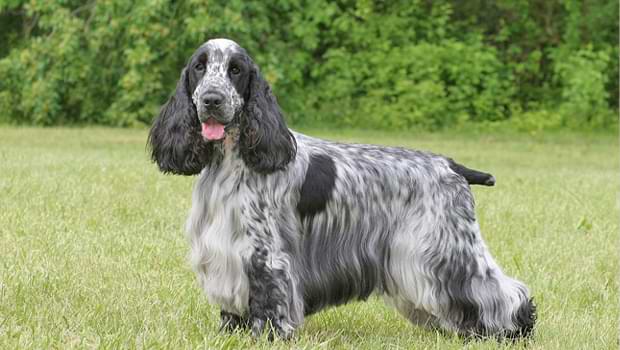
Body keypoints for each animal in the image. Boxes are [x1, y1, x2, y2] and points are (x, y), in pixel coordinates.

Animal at [149, 38, 532, 340]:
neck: (232, 159)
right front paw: (231, 332)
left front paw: (267, 335)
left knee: (500, 291)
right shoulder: (225, 249)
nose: (212, 100)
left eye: (236, 70)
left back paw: (514, 329)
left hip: (447, 247)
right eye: (199, 67)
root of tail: (451, 165)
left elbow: (269, 297)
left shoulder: (264, 252)